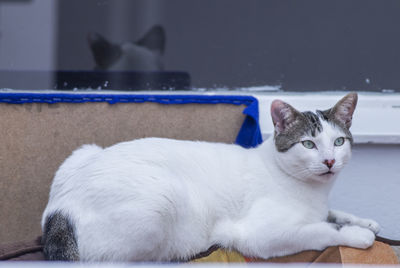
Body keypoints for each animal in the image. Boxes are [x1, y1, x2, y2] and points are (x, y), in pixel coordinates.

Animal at [41, 92, 382, 262]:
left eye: (338, 142)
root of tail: (59, 211)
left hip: (82, 152)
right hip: (162, 199)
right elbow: (322, 229)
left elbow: (332, 214)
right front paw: (357, 235)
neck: (313, 192)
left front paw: (365, 222)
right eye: (308, 144)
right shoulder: (260, 235)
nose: (329, 161)